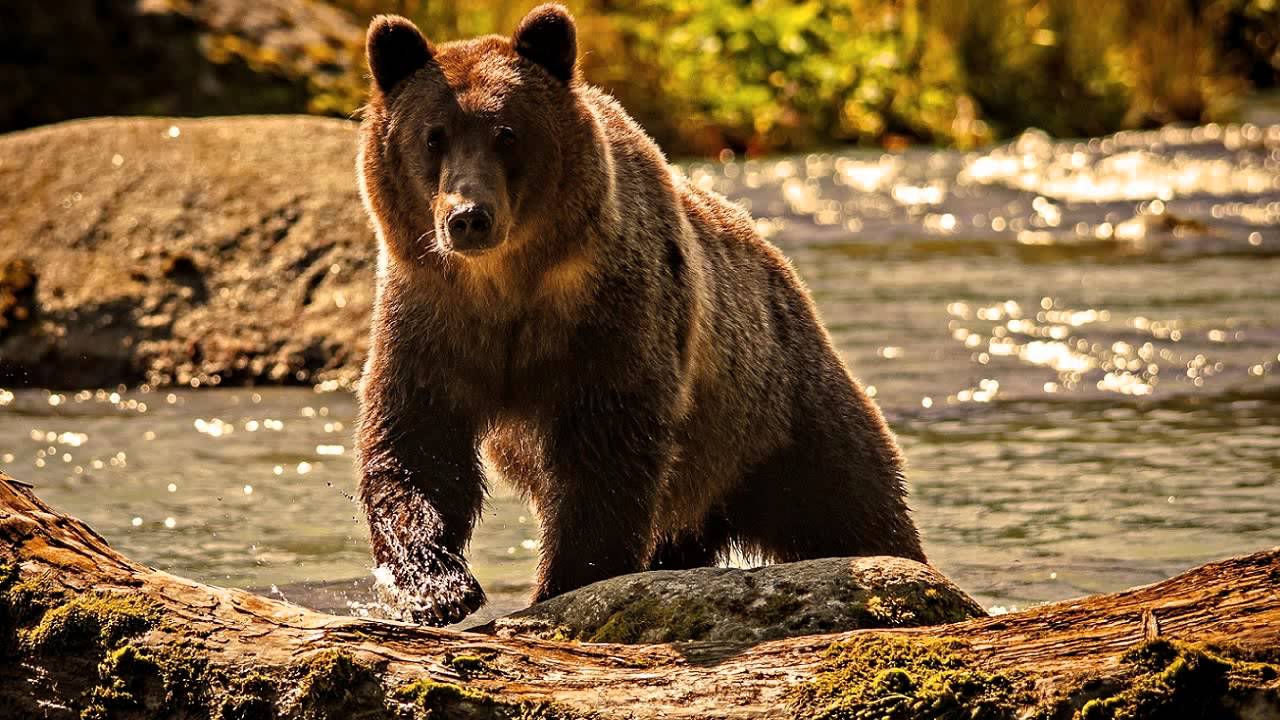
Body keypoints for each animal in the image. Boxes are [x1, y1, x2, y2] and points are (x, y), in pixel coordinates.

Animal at [354, 4, 926, 625]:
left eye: (506, 133)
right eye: (433, 136)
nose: (468, 217)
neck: (506, 285)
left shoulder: (612, 316)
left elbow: (606, 455)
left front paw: (563, 583)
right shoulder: (431, 316)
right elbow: (417, 441)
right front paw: (435, 585)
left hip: (776, 410)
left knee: (850, 500)